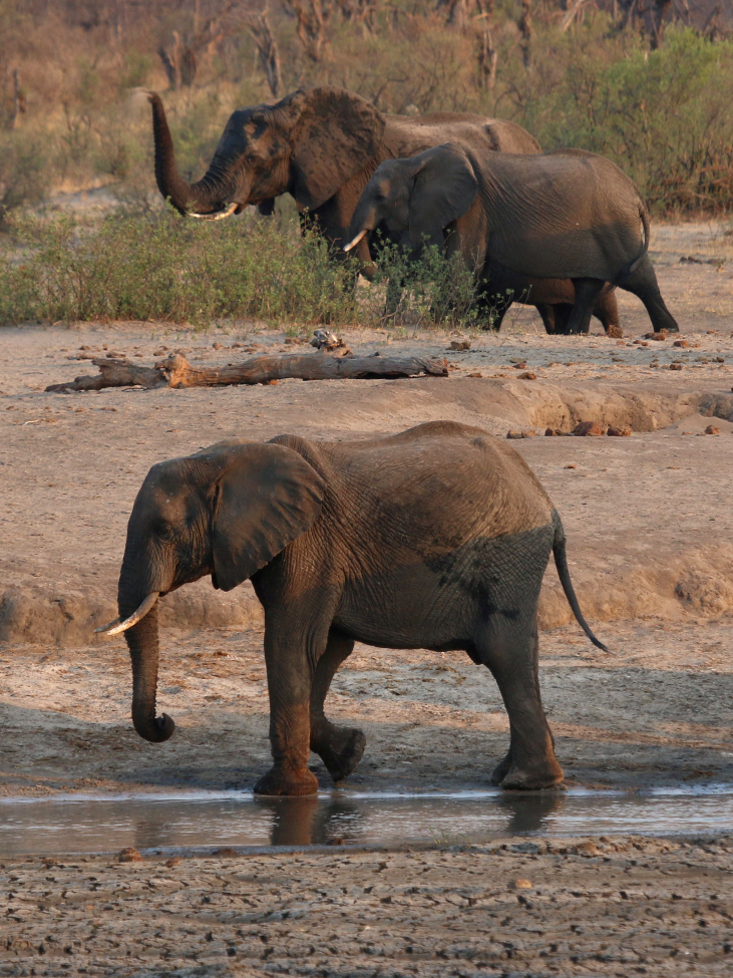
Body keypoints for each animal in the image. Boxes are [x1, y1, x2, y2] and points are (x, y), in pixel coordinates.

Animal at [98, 420, 608, 792]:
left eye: (165, 530)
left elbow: (289, 645)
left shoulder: (308, 544)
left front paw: (280, 793)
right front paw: (350, 757)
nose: (166, 721)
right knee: (518, 655)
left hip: (508, 557)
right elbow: (325, 651)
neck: (228, 457)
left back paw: (525, 784)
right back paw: (513, 777)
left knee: (505, 654)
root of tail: (546, 499)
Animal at [346, 139, 676, 334]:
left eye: (380, 196)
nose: (385, 321)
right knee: (587, 284)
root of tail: (634, 191)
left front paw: (437, 322)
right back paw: (574, 333)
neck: (415, 162)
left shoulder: (474, 208)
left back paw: (668, 331)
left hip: (616, 227)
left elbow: (461, 266)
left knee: (637, 277)